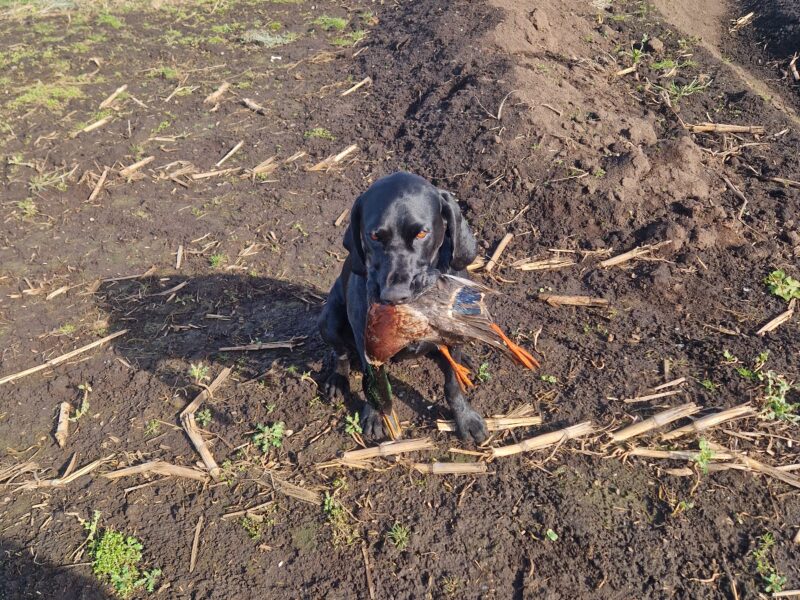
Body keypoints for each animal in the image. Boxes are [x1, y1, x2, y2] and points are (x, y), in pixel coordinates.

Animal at [318, 171, 488, 442]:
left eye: (421, 234)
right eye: (374, 236)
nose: (394, 296)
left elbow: (453, 384)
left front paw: (464, 417)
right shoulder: (367, 343)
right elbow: (374, 383)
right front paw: (376, 416)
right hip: (329, 320)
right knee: (340, 353)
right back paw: (337, 379)